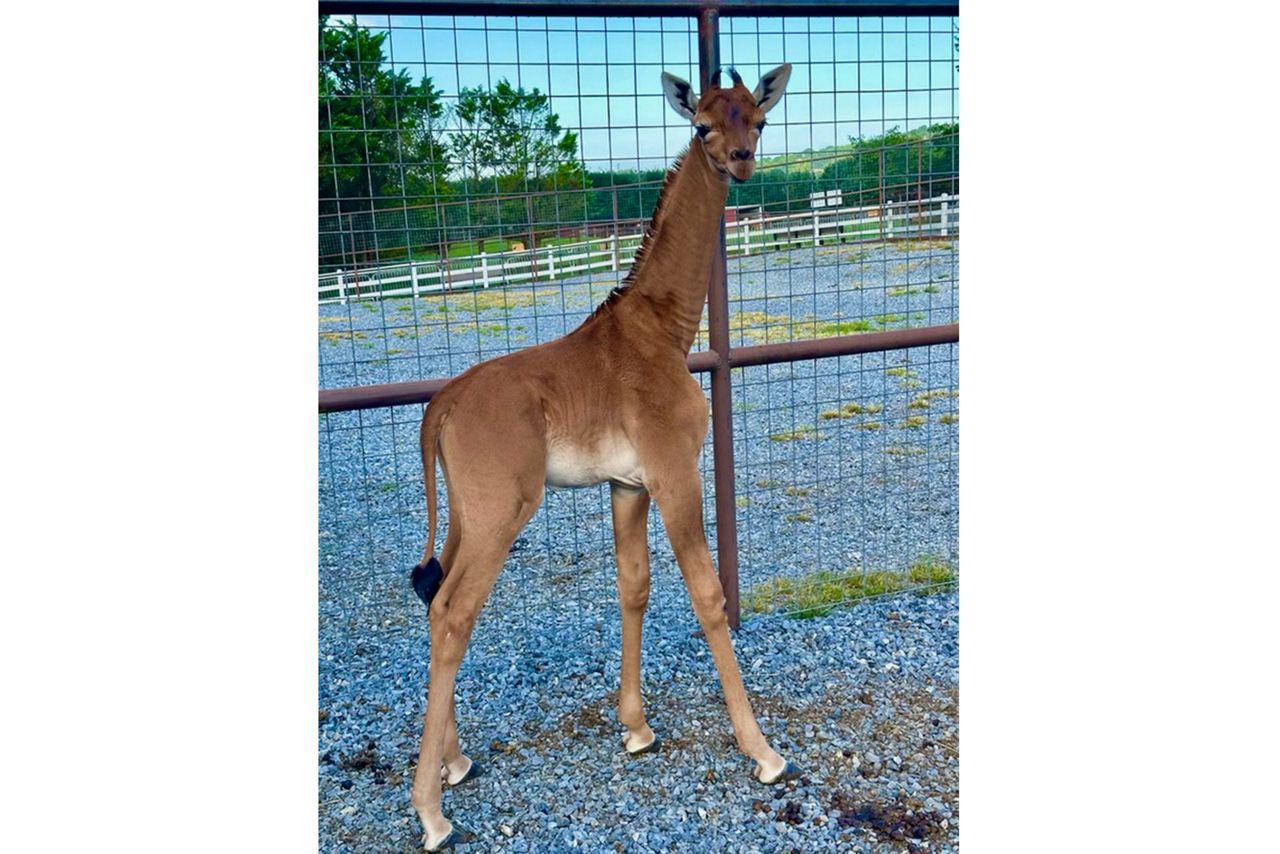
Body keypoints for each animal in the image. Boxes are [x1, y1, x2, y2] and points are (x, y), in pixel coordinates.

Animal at [408, 64, 795, 852]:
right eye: (702, 125)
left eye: (759, 119)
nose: (741, 161)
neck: (666, 331)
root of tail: (441, 406)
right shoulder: (675, 472)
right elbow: (707, 595)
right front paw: (763, 752)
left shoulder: (627, 483)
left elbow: (634, 586)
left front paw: (637, 728)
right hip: (501, 512)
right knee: (454, 614)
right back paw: (431, 812)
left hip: (465, 513)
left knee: (434, 600)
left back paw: (455, 762)